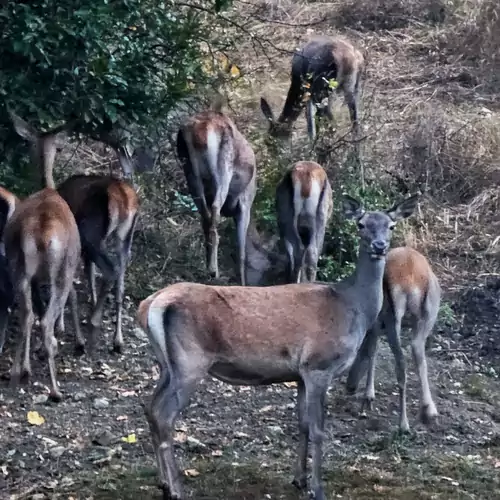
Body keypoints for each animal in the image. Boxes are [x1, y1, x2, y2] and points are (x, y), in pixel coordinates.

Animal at [136, 192, 418, 500]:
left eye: (391, 225)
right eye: (361, 224)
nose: (380, 246)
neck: (352, 306)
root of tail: (152, 304)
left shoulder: (301, 373)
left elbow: (302, 424)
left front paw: (299, 479)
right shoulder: (319, 365)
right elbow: (319, 430)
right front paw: (318, 489)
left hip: (167, 364)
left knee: (150, 408)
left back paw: (163, 483)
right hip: (190, 361)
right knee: (165, 415)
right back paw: (175, 489)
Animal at [176, 101, 256, 286]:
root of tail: (201, 131)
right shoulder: (245, 204)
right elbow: (241, 250)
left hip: (190, 172)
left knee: (205, 216)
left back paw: (208, 268)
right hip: (223, 169)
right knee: (214, 212)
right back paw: (214, 271)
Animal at [346, 246, 440, 430]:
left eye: (356, 353)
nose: (350, 387)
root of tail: (412, 280)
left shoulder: (376, 323)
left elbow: (373, 350)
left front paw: (368, 397)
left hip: (393, 317)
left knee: (401, 362)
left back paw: (403, 424)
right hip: (428, 314)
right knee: (417, 350)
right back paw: (429, 410)